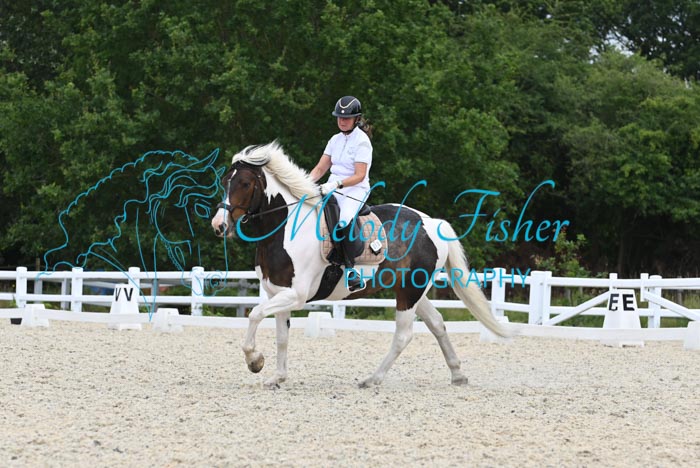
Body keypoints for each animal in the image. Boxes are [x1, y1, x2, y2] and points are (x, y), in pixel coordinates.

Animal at [211, 142, 511, 388]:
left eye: (245, 184)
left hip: (409, 293)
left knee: (403, 335)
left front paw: (254, 361)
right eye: (226, 181)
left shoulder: (295, 295)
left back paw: (372, 379)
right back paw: (458, 375)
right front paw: (276, 377)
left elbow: (254, 315)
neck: (284, 231)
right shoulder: (278, 293)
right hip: (414, 290)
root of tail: (432, 222)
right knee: (437, 323)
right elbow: (281, 336)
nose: (219, 226)